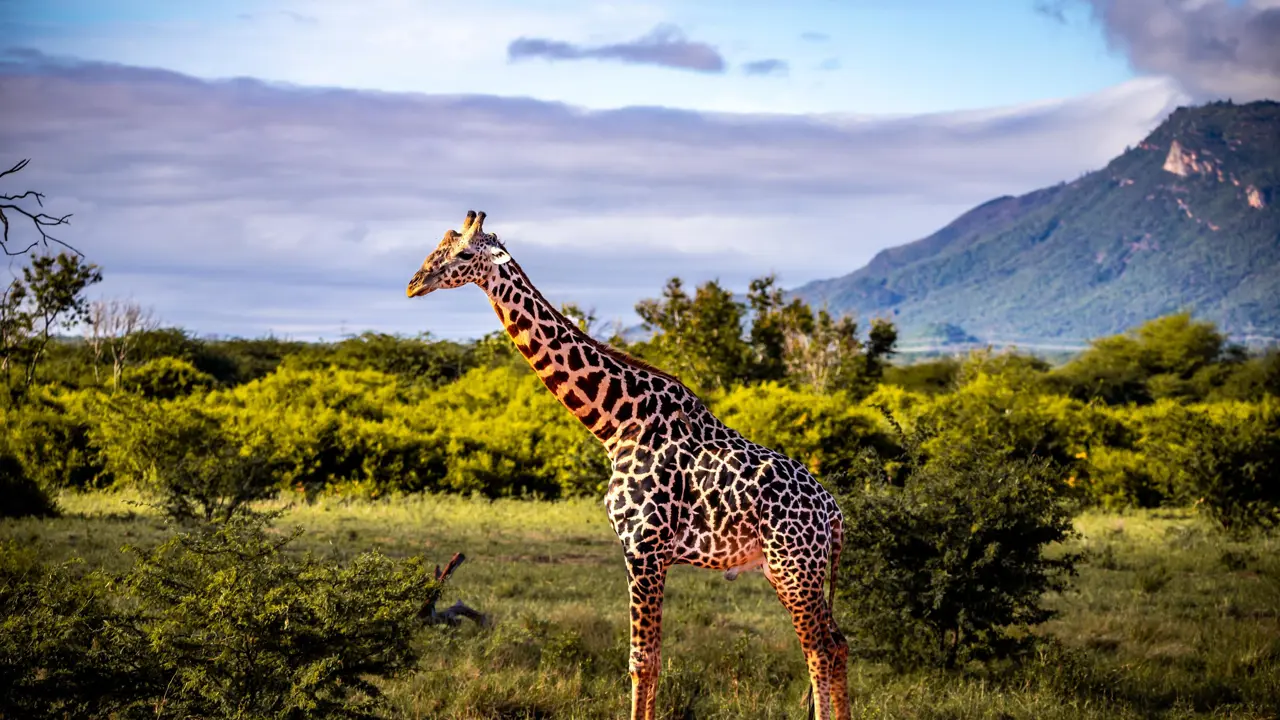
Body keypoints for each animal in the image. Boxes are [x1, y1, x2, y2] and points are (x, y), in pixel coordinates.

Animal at [406, 211, 851, 720]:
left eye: (463, 254)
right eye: (436, 246)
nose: (414, 284)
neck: (618, 423)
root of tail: (834, 514)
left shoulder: (644, 547)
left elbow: (643, 661)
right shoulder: (642, 550)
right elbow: (646, 659)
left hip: (796, 567)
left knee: (820, 649)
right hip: (790, 570)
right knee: (836, 644)